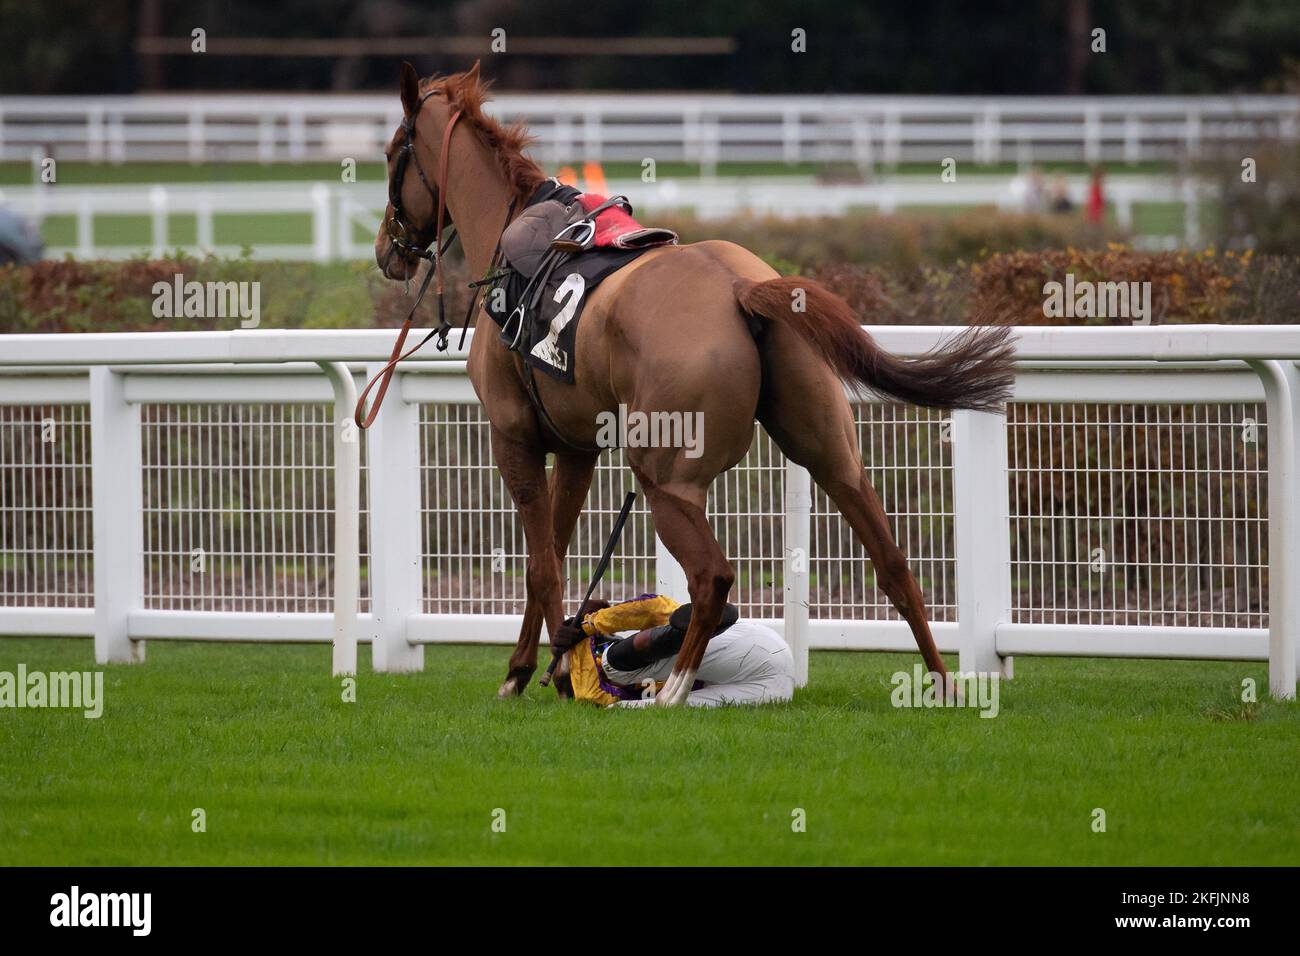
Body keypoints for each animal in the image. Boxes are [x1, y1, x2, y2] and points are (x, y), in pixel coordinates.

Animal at [369, 59, 1013, 702]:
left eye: (392, 151)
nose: (385, 250)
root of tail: (742, 289)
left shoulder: (513, 437)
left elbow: (542, 565)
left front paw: (550, 670)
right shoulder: (578, 448)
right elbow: (552, 550)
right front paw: (534, 665)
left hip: (666, 478)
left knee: (712, 577)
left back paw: (674, 688)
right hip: (832, 454)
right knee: (893, 564)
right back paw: (943, 684)